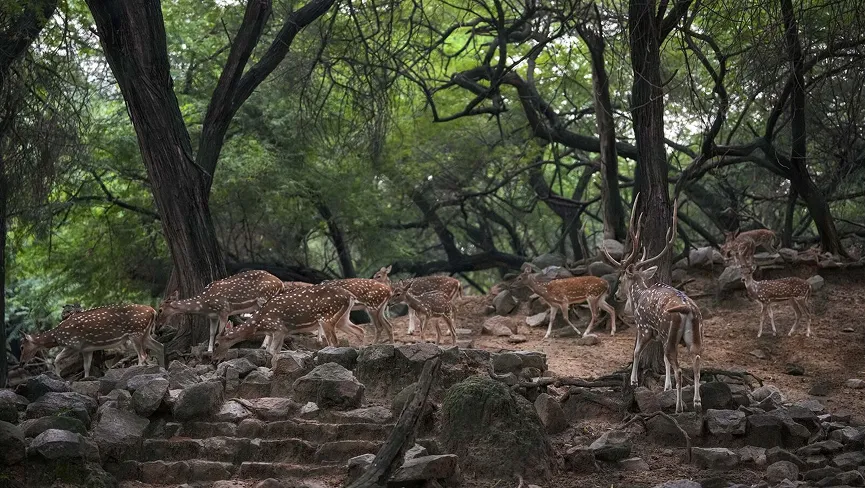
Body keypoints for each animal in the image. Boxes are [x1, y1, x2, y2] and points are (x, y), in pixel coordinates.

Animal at [20, 304, 165, 378]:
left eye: (21, 346)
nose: (21, 363)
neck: (57, 336)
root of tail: (153, 311)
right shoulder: (87, 349)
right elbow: (86, 366)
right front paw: (86, 378)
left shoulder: (74, 344)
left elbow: (56, 358)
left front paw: (59, 376)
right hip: (145, 334)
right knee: (160, 346)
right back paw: (162, 367)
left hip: (136, 332)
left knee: (143, 355)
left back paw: (135, 370)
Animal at [212, 285, 364, 366]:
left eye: (216, 344)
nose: (213, 361)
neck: (260, 324)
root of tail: (350, 296)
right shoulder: (281, 332)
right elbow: (275, 351)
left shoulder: (278, 328)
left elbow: (271, 351)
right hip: (343, 318)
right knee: (360, 330)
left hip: (326, 317)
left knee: (334, 342)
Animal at [602, 194, 704, 414]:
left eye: (621, 279)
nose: (618, 295)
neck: (639, 295)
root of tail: (689, 309)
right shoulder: (659, 335)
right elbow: (663, 360)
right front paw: (666, 387)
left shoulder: (645, 327)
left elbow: (636, 351)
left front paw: (633, 381)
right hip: (694, 336)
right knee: (696, 361)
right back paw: (697, 402)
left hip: (670, 333)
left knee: (680, 369)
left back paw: (679, 407)